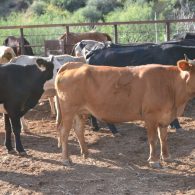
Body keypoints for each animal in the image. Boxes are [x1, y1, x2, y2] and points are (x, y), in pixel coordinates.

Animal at [55, 57, 195, 167]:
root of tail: (74, 65)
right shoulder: (151, 116)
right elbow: (153, 139)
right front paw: (154, 161)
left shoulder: (165, 117)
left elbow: (163, 138)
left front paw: (166, 157)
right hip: (68, 110)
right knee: (64, 132)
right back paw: (66, 159)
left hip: (80, 111)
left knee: (78, 130)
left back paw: (85, 153)